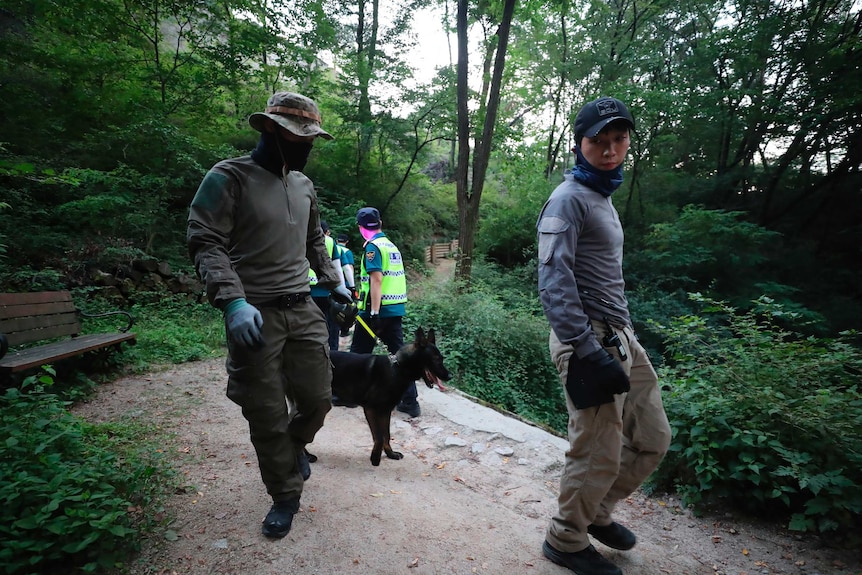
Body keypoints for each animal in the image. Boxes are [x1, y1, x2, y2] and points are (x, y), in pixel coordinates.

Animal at [330, 328, 452, 468]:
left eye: (442, 359)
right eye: (436, 359)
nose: (450, 376)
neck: (398, 369)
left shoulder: (385, 411)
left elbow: (386, 435)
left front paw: (390, 454)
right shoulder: (371, 409)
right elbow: (379, 436)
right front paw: (375, 458)